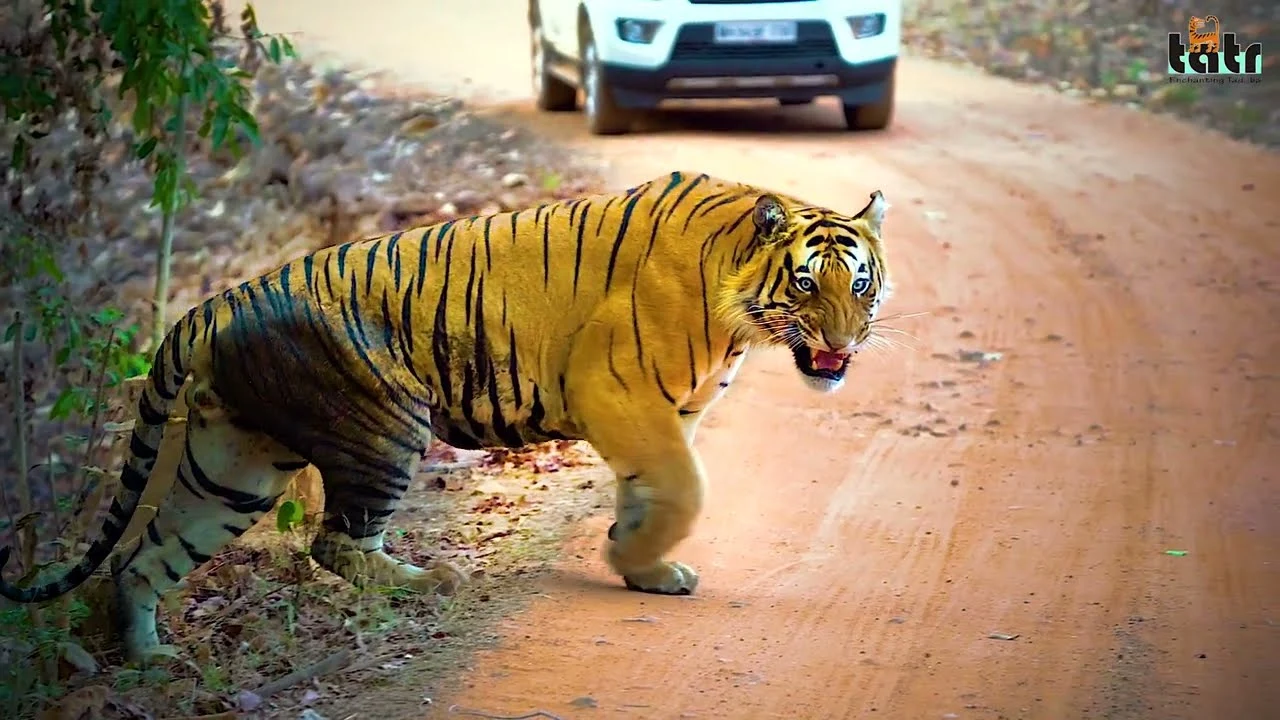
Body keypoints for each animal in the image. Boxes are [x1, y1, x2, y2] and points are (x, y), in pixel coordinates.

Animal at [0, 170, 893, 663]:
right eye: (806, 285)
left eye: (861, 284)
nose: (843, 347)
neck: (737, 312)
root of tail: (217, 301)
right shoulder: (619, 392)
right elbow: (683, 489)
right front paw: (634, 555)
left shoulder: (670, 409)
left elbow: (654, 490)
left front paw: (639, 564)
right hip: (387, 424)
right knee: (335, 542)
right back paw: (434, 581)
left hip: (235, 465)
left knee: (142, 558)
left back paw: (148, 657)